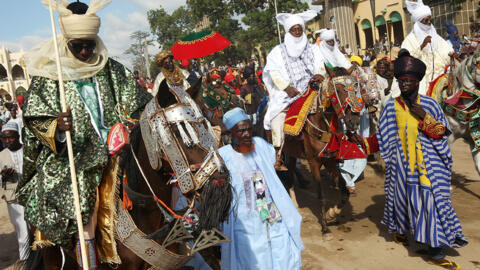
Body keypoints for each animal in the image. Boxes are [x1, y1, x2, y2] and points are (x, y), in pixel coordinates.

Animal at [26, 78, 234, 270]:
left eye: (206, 125)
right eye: (178, 132)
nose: (220, 183)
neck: (145, 212)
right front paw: (63, 124)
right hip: (51, 253)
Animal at [282, 66, 364, 237]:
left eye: (356, 88)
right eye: (337, 90)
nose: (353, 121)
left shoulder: (332, 160)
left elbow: (344, 192)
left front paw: (332, 214)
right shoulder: (313, 161)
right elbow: (321, 196)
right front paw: (325, 228)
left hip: (292, 154)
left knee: (291, 172)